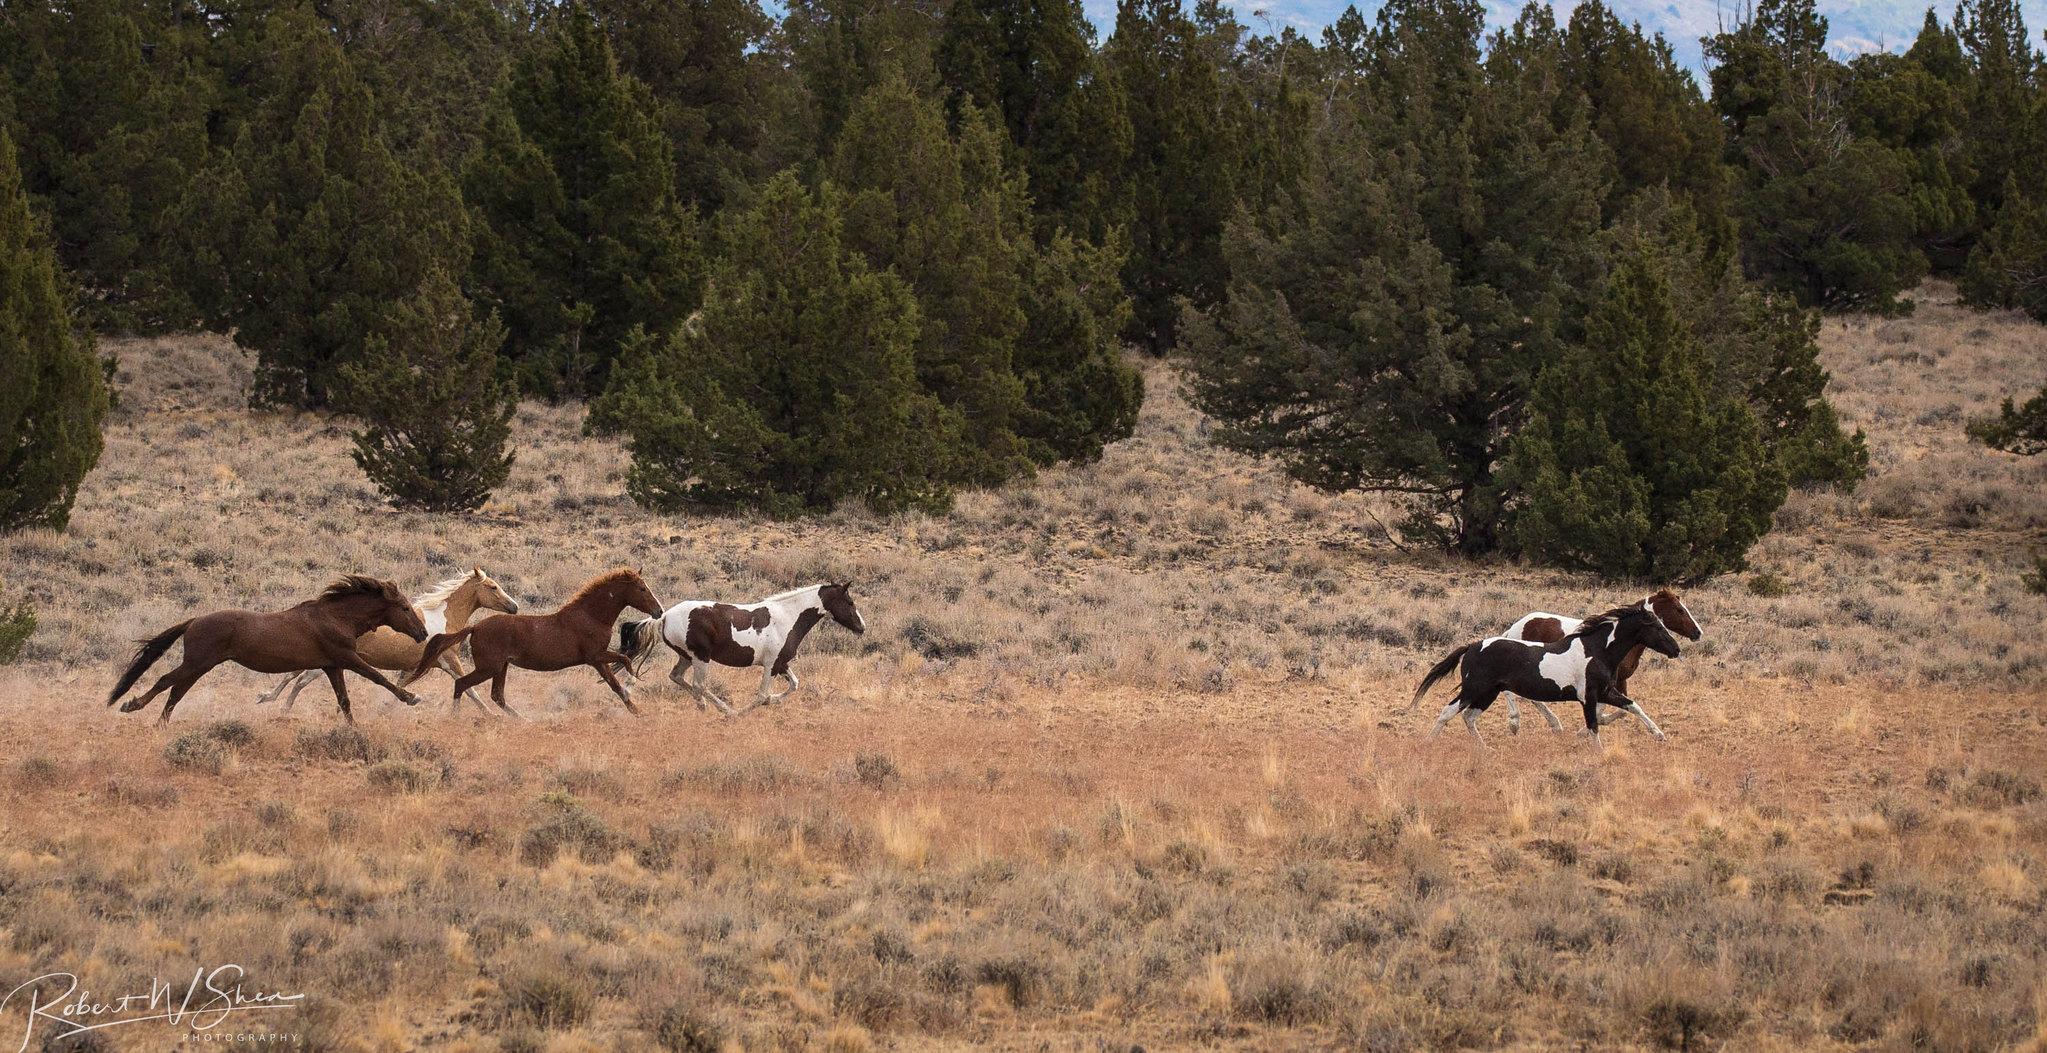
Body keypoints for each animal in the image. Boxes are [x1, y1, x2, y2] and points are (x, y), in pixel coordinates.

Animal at [106, 573, 427, 721]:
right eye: (404, 608)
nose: (423, 633)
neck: (336, 617)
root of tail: (194, 621)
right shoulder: (346, 658)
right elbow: (380, 678)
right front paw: (412, 697)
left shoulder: (331, 665)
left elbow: (344, 701)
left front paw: (353, 729)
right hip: (197, 662)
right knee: (165, 681)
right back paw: (131, 706)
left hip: (200, 666)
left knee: (176, 691)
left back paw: (160, 723)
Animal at [411, 565, 667, 712]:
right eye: (642, 589)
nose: (659, 610)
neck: (591, 615)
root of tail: (475, 626)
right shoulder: (596, 656)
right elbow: (623, 668)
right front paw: (634, 696)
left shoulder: (598, 659)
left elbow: (618, 677)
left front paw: (635, 708)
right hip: (488, 667)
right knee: (462, 684)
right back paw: (456, 717)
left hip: (500, 667)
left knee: (497, 696)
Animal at [605, 581, 863, 712]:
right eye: (850, 602)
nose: (862, 627)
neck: (788, 617)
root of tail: (665, 616)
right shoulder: (771, 665)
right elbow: (761, 695)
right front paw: (742, 713)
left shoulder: (781, 663)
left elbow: (795, 685)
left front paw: (773, 700)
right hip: (700, 657)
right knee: (699, 685)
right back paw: (724, 710)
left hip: (686, 656)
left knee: (677, 677)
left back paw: (703, 706)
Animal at [1408, 598, 1678, 745]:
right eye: (1657, 627)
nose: (1676, 649)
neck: (1597, 650)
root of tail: (1473, 645)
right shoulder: (1588, 696)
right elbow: (1593, 726)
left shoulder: (1606, 692)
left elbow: (1633, 706)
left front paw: (1660, 735)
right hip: (1474, 689)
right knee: (1448, 712)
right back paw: (1428, 743)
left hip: (1489, 693)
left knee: (1469, 717)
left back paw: (1486, 749)